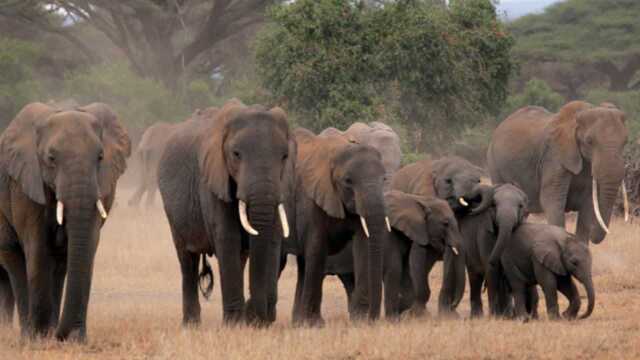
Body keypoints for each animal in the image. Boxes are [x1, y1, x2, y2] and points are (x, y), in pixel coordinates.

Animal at [0, 102, 131, 340]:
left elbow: (87, 246)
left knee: (60, 264)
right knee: (14, 258)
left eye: (100, 157)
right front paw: (41, 337)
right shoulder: (26, 184)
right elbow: (37, 248)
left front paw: (74, 339)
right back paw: (29, 335)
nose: (63, 334)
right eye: (51, 158)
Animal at [158, 98, 296, 326]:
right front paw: (234, 325)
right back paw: (191, 324)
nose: (259, 319)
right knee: (187, 260)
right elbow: (227, 237)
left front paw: (257, 323)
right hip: (172, 208)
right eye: (236, 154)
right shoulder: (213, 180)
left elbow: (272, 239)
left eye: (284, 156)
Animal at [284, 129, 384, 326]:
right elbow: (317, 248)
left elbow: (363, 246)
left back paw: (297, 322)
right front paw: (314, 325)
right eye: (348, 181)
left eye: (384, 179)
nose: (374, 319)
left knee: (302, 263)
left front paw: (360, 321)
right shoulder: (311, 197)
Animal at [490, 100, 632, 243]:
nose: (594, 236)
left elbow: (587, 208)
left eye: (625, 142)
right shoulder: (554, 158)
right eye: (589, 141)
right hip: (495, 165)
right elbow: (553, 202)